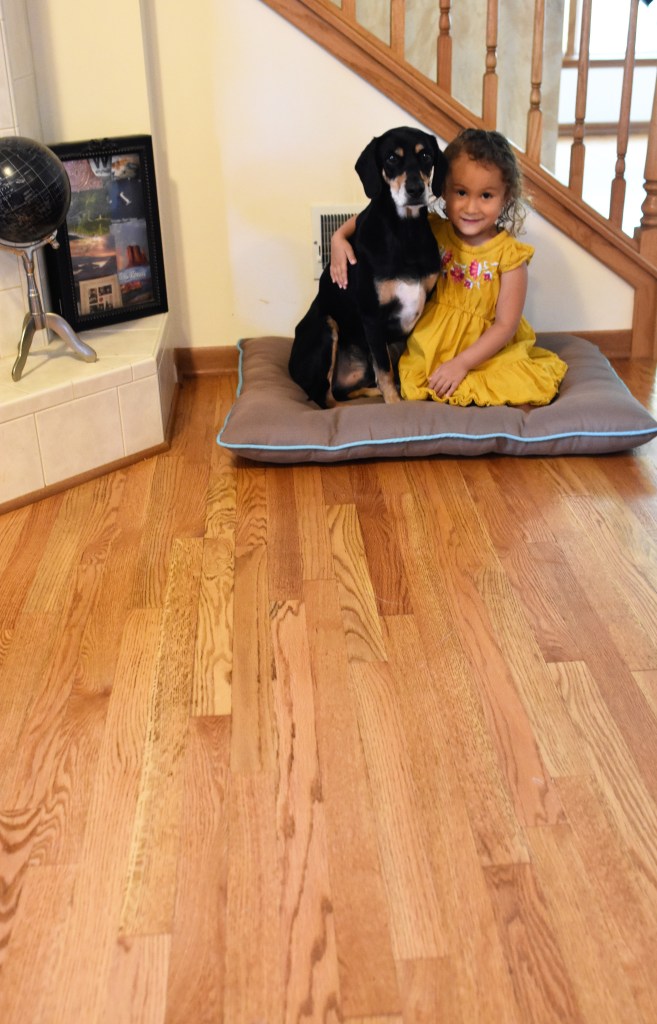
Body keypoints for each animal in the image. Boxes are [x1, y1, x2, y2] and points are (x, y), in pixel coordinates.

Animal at [289, 126, 447, 407]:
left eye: (426, 156)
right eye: (392, 158)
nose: (415, 189)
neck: (405, 232)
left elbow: (394, 365)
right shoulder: (372, 316)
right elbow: (384, 368)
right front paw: (394, 402)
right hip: (326, 327)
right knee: (325, 397)